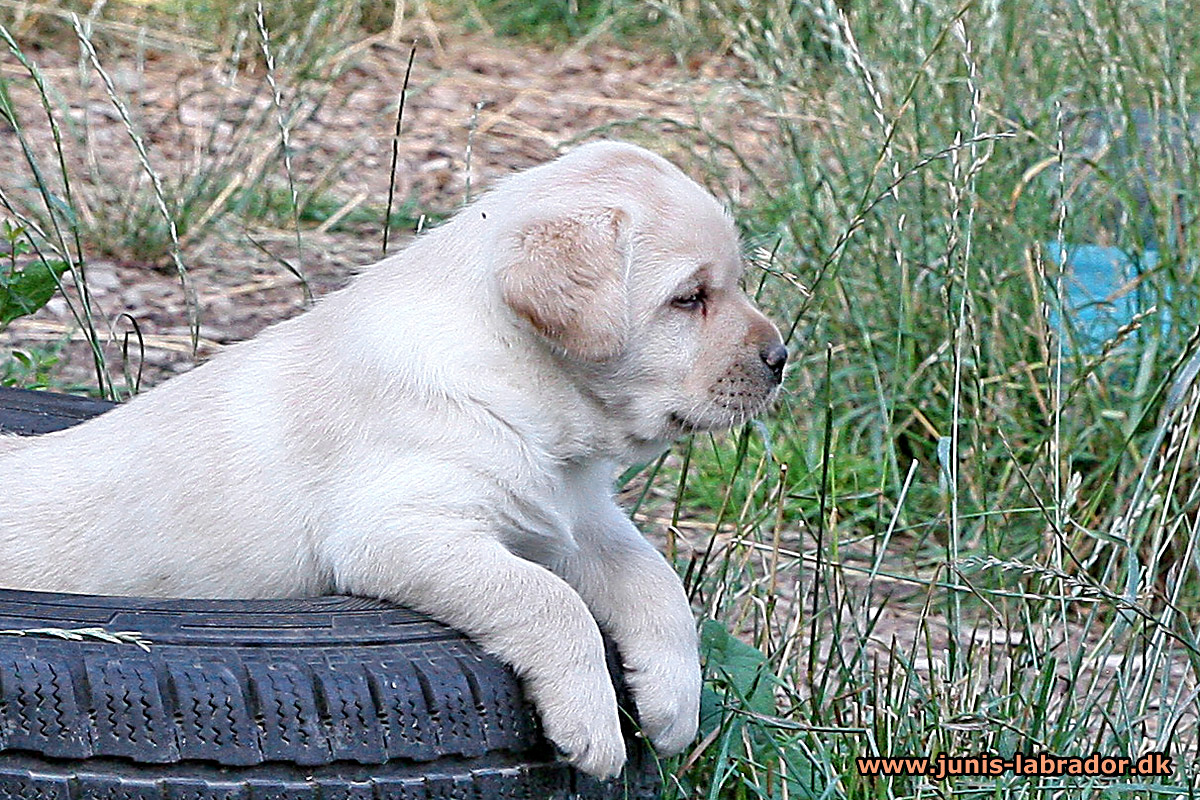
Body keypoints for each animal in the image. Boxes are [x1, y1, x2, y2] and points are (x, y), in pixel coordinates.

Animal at [0, 140, 787, 777]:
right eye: (689, 298)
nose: (781, 358)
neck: (518, 379)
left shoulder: (574, 518)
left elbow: (657, 583)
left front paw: (673, 702)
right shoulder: (402, 529)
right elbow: (550, 600)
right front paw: (591, 724)